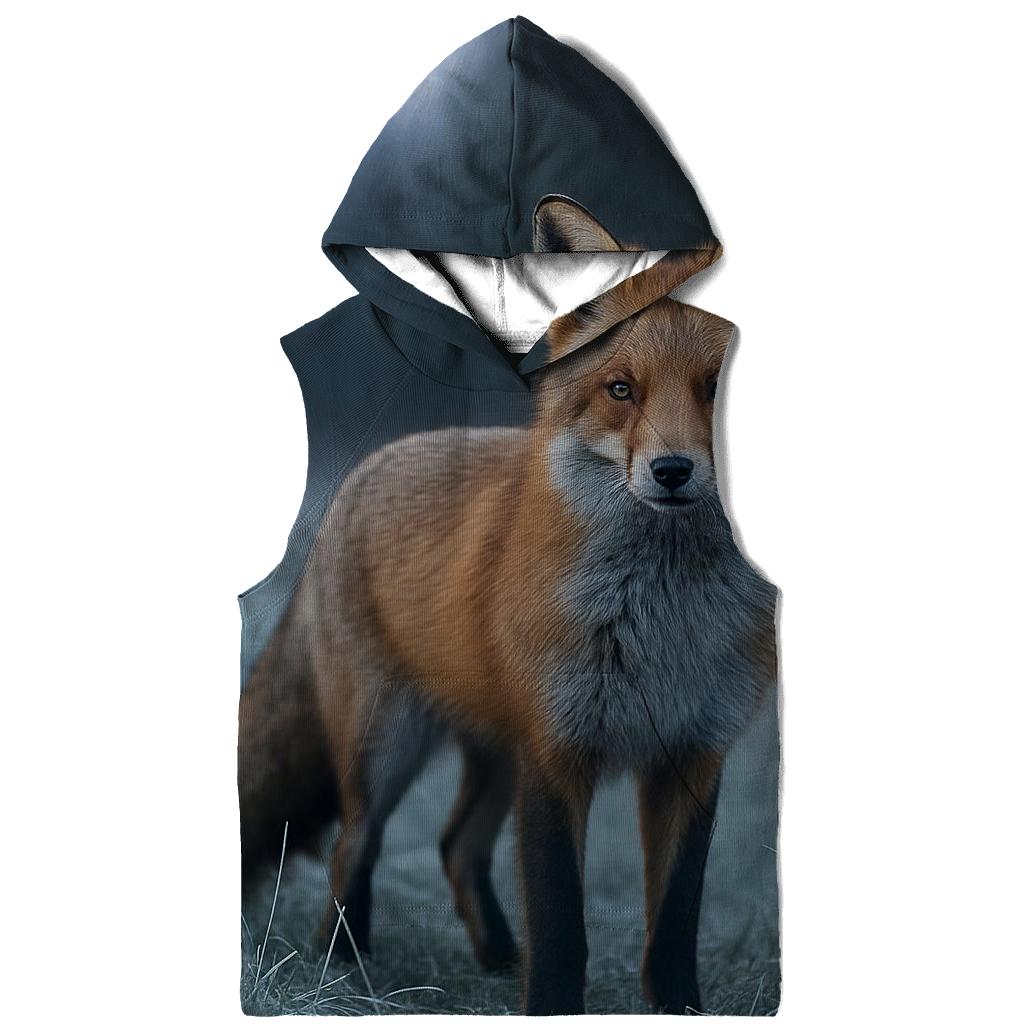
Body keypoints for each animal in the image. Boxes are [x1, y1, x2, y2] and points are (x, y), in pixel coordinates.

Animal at [239, 198, 777, 1015]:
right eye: (622, 390)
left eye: (716, 388)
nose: (673, 470)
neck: (663, 623)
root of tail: (365, 472)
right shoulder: (556, 752)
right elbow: (559, 918)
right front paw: (551, 1002)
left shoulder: (691, 753)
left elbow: (675, 918)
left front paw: (678, 1007)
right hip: (387, 740)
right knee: (351, 844)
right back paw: (345, 968)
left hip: (496, 747)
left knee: (455, 845)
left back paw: (495, 959)